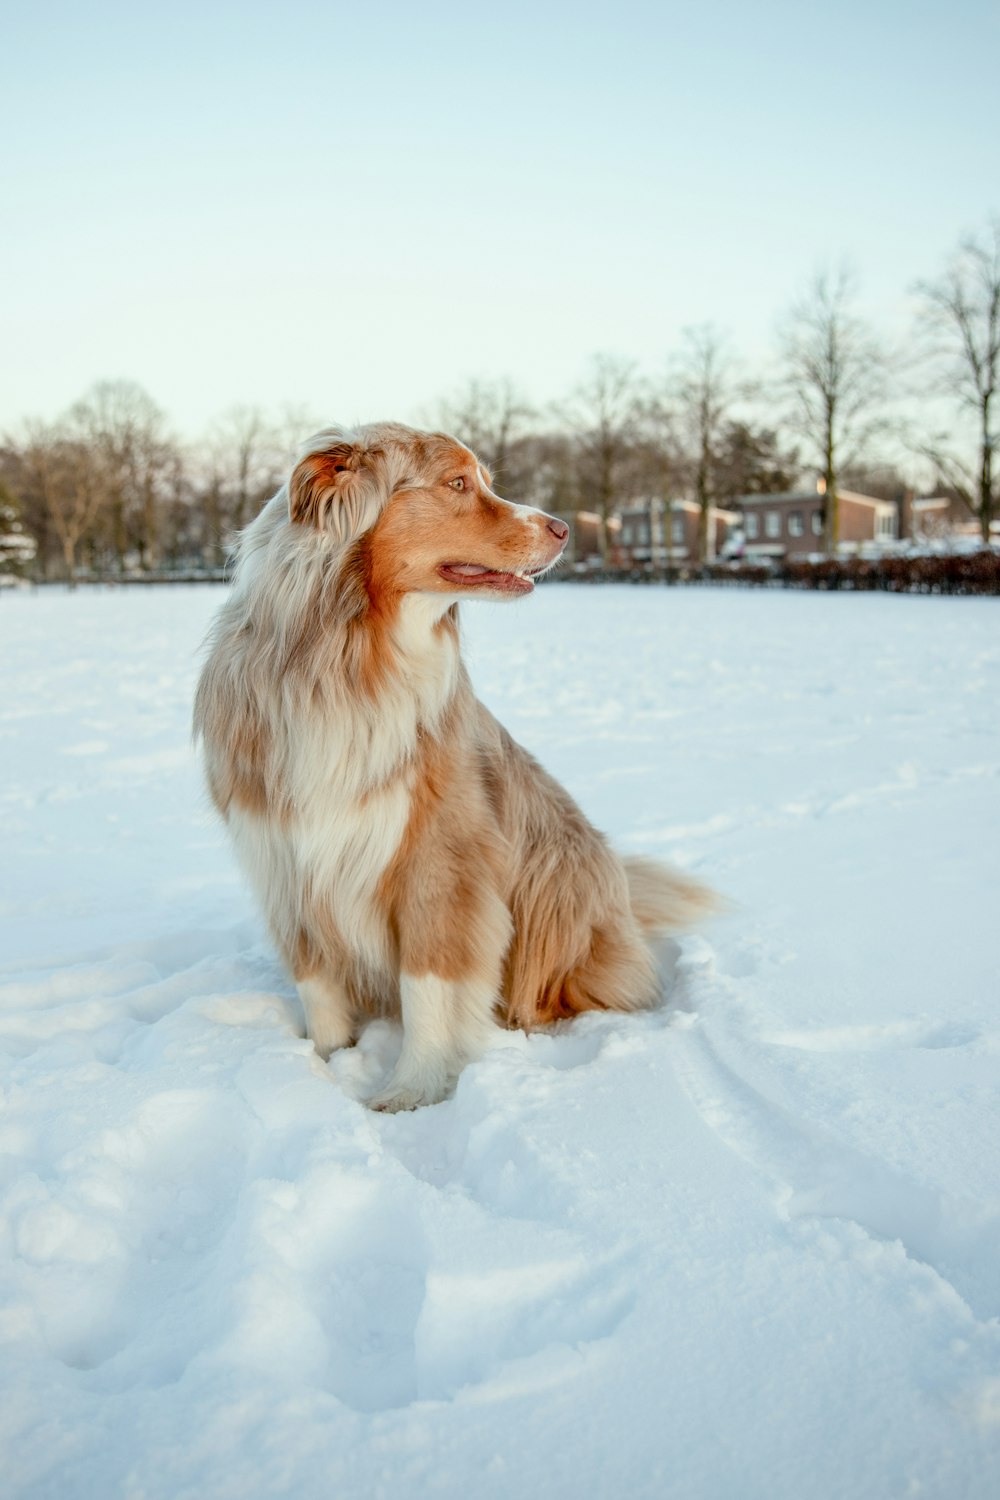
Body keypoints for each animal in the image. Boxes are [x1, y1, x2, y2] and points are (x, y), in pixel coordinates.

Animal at [191, 417, 716, 1110]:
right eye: (458, 483)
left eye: (482, 479)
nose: (563, 527)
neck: (353, 657)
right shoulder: (285, 861)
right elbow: (318, 985)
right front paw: (329, 1066)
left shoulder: (441, 861)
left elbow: (430, 986)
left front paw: (409, 1092)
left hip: (557, 883)